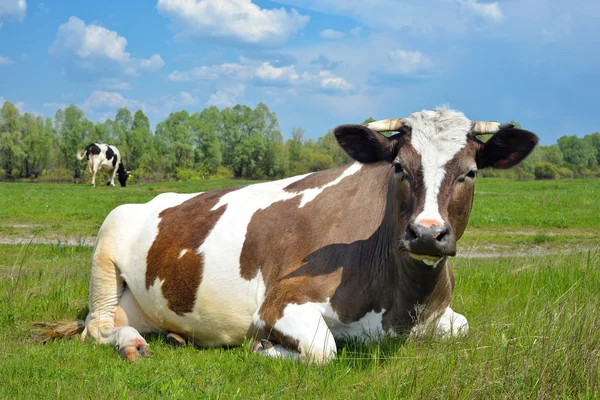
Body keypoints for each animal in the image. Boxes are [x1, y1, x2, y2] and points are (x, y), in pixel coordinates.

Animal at [43, 108, 540, 362]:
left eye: (471, 171)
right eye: (399, 166)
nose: (425, 234)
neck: (404, 306)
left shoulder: (443, 315)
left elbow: (463, 328)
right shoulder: (281, 301)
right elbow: (324, 350)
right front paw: (263, 347)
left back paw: (166, 336)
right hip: (106, 249)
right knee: (97, 326)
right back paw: (133, 345)